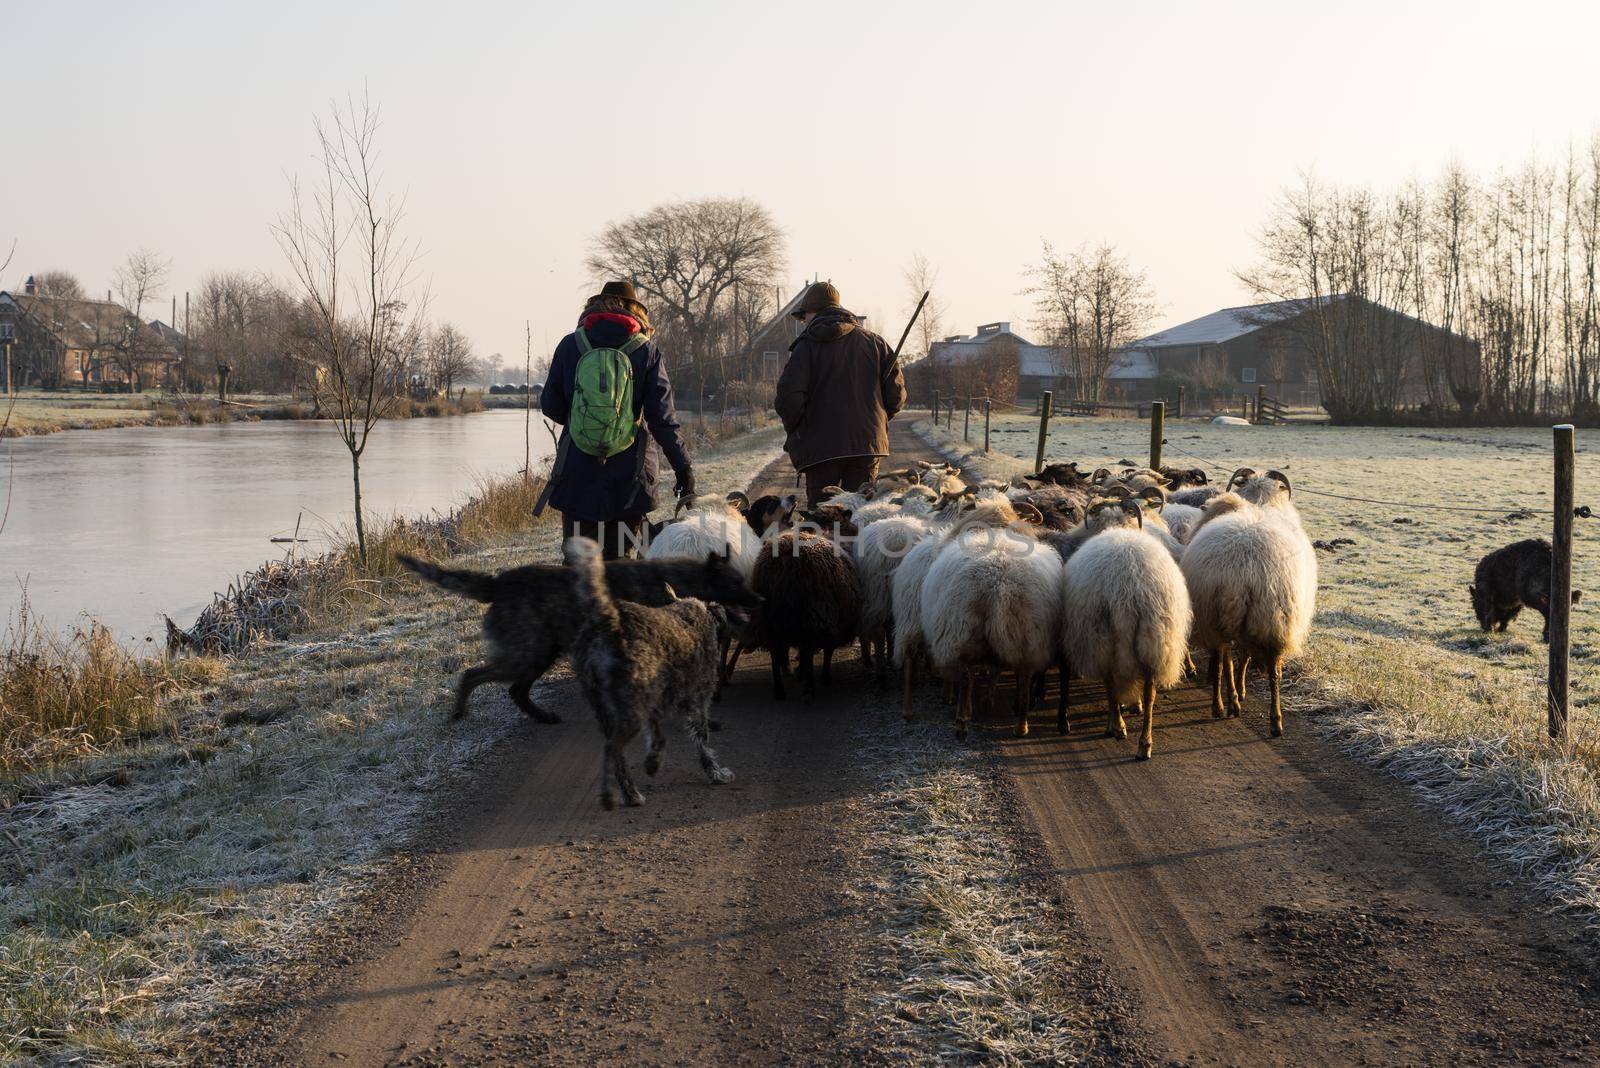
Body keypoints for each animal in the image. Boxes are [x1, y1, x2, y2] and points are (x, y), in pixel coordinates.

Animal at [393, 549, 755, 725]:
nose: (761, 599)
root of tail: (499, 584)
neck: (682, 583)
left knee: (516, 690)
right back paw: (459, 712)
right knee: (473, 675)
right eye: (736, 583)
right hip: (527, 655)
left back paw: (542, 716)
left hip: (540, 655)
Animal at [563, 537, 742, 805]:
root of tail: (608, 624)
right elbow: (702, 740)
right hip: (632, 705)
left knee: (616, 753)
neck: (691, 615)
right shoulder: (697, 699)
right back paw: (640, 775)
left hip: (605, 707)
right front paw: (716, 773)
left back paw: (631, 793)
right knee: (614, 748)